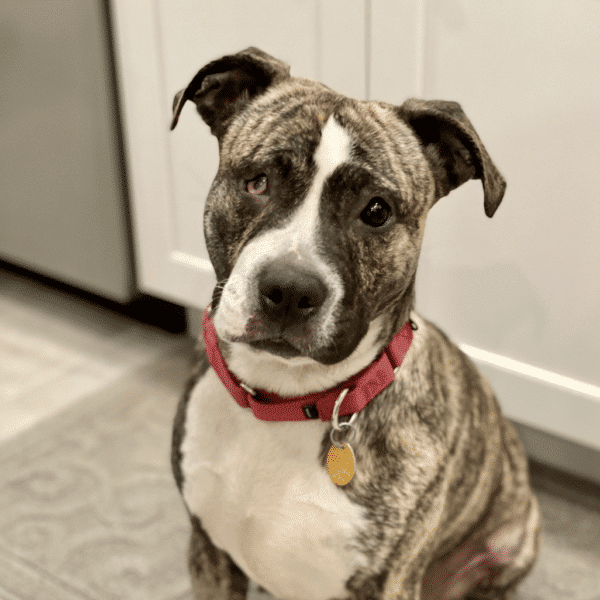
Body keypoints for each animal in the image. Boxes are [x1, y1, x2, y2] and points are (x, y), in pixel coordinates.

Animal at [169, 48, 540, 600]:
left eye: (377, 211)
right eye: (258, 181)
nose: (290, 290)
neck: (285, 402)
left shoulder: (388, 583)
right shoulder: (209, 551)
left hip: (513, 543)